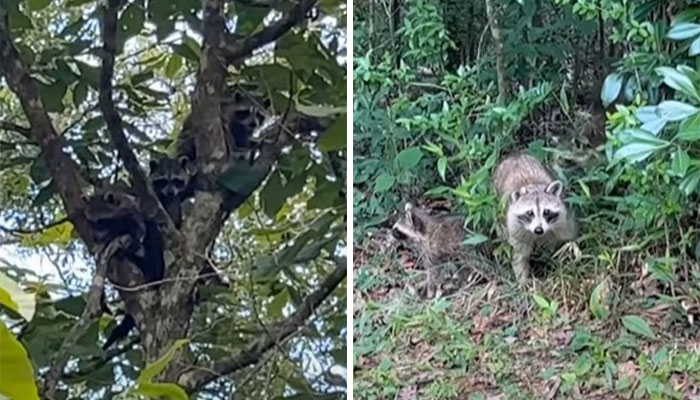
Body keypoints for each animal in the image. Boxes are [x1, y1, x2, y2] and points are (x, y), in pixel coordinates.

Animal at [492, 153, 576, 284]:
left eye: (546, 212)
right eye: (530, 213)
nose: (538, 230)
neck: (533, 187)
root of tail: (515, 156)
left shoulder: (562, 221)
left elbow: (565, 239)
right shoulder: (514, 226)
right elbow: (519, 255)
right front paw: (523, 279)